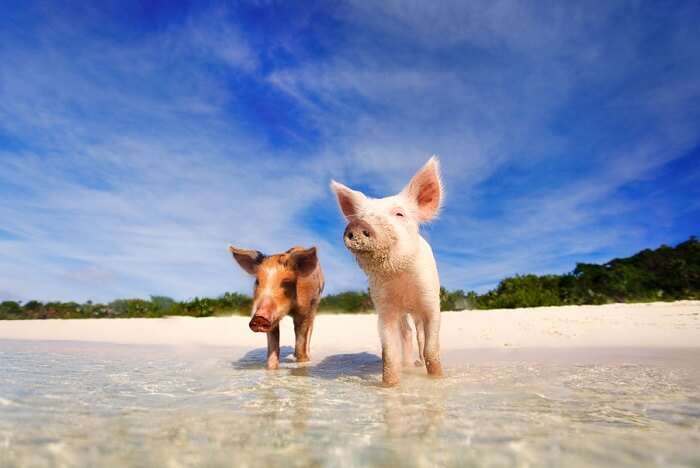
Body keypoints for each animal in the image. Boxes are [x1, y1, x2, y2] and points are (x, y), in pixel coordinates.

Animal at [332, 155, 442, 386]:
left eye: (399, 213)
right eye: (362, 216)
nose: (357, 225)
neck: (400, 277)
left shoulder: (431, 301)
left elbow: (430, 348)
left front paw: (437, 378)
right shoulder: (384, 307)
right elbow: (390, 353)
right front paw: (390, 385)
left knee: (418, 335)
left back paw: (418, 364)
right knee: (406, 333)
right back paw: (408, 365)